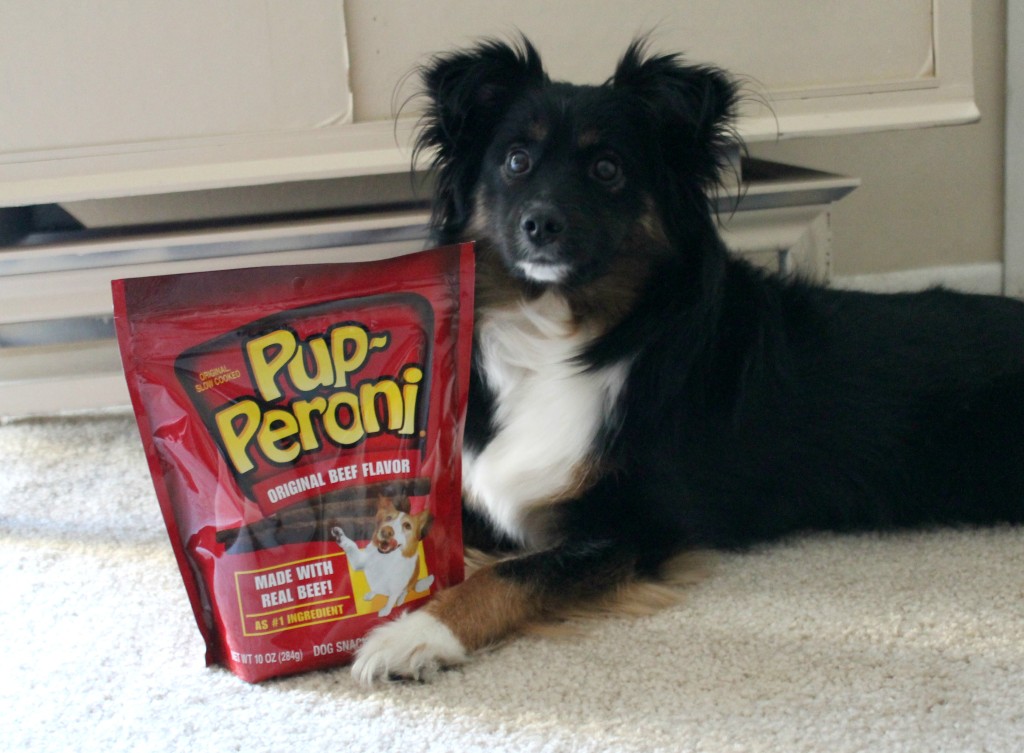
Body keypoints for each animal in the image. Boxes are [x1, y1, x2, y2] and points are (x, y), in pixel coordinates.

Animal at [348, 36, 1019, 684]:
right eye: (516, 160)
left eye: (608, 168)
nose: (541, 224)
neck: (559, 334)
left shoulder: (635, 528)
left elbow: (510, 575)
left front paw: (416, 634)